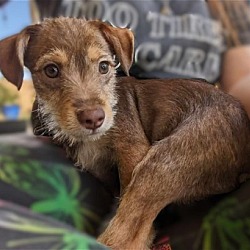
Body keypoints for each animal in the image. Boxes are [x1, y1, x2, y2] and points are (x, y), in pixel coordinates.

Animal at [0, 17, 250, 248]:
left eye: (104, 66)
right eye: (51, 70)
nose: (94, 118)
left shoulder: (132, 149)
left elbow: (127, 199)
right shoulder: (99, 168)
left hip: (164, 161)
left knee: (128, 235)